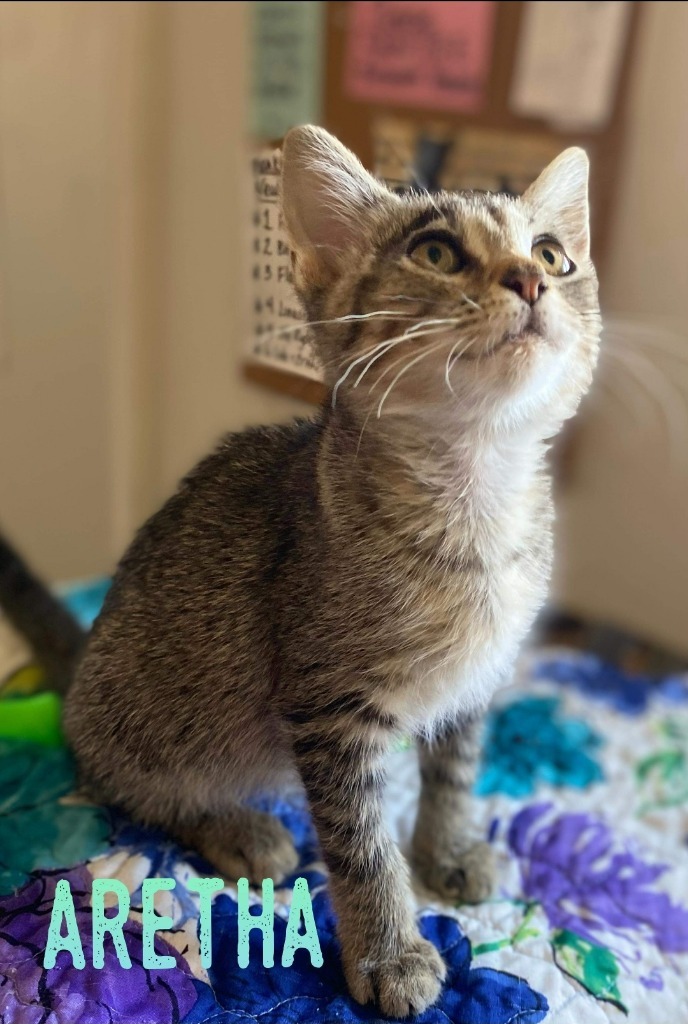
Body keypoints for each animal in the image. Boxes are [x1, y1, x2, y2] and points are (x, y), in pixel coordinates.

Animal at [10, 128, 597, 1015]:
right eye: (435, 250)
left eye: (554, 255)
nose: (531, 280)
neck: (476, 509)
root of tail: (81, 667)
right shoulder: (331, 707)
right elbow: (361, 844)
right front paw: (390, 952)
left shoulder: (477, 682)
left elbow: (454, 775)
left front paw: (448, 848)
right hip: (150, 719)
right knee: (121, 778)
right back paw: (238, 826)